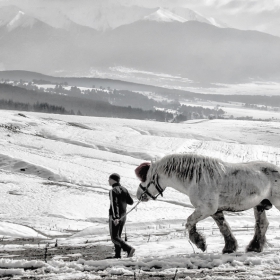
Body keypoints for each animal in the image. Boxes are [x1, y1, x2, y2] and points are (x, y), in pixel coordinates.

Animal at [134, 153, 280, 254]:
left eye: (145, 179)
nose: (139, 195)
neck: (195, 178)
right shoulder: (215, 211)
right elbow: (223, 228)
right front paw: (229, 248)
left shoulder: (206, 209)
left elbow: (189, 222)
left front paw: (200, 243)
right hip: (260, 206)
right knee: (262, 225)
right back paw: (254, 247)